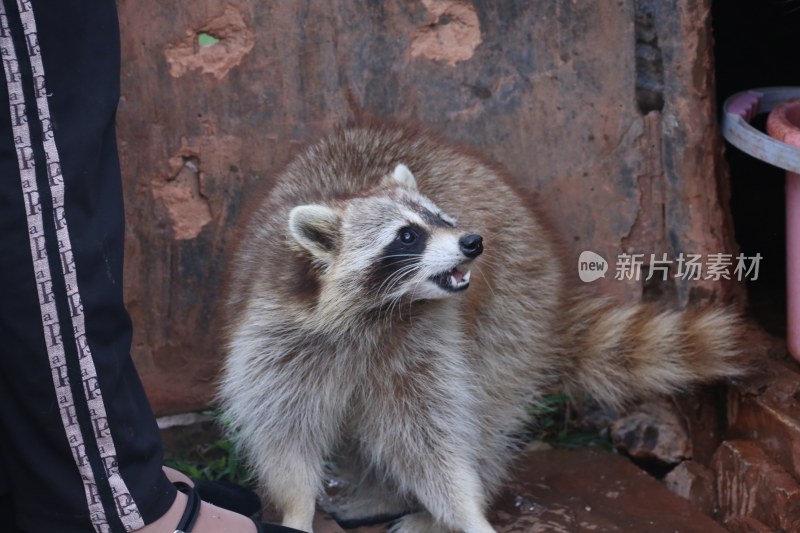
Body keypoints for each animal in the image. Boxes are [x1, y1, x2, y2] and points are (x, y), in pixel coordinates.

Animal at [217, 125, 744, 532]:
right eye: (407, 235)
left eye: (441, 217)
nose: (472, 242)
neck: (377, 312)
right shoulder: (280, 332)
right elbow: (283, 428)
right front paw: (296, 508)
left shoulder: (421, 344)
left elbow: (432, 437)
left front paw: (462, 509)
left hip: (515, 299)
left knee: (488, 402)